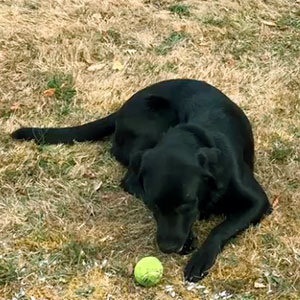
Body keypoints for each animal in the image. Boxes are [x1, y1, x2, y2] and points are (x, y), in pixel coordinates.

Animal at [11, 79, 270, 282]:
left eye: (186, 204)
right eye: (152, 204)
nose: (168, 248)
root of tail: (121, 109)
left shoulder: (257, 202)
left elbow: (220, 228)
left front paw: (201, 258)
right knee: (128, 179)